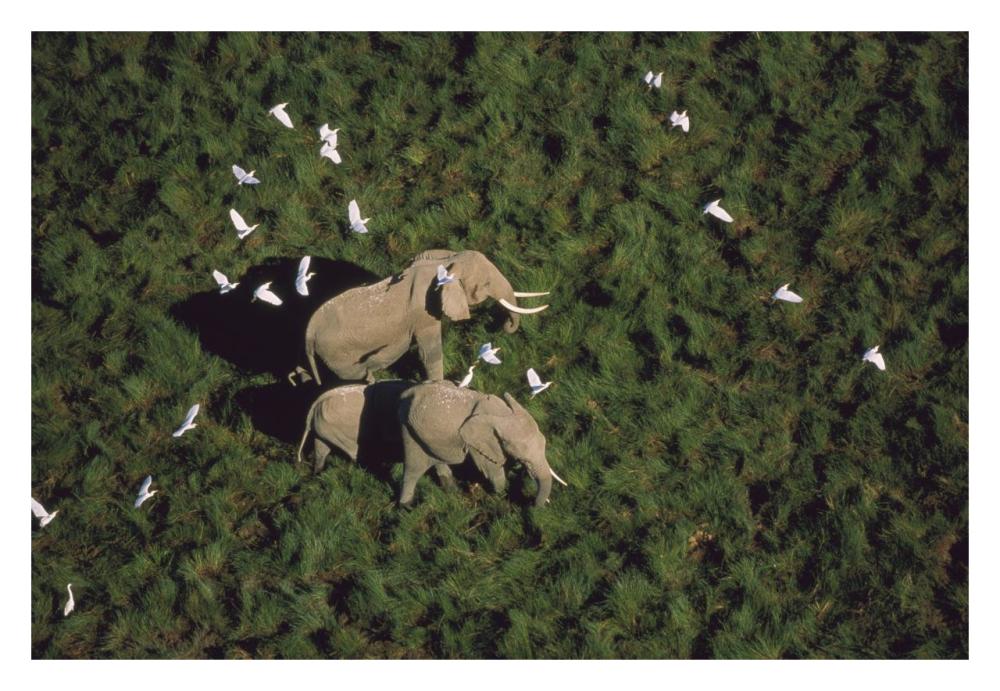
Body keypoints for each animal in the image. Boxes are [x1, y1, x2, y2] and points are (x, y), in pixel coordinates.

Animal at [303, 249, 549, 385]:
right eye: (486, 284)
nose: (503, 325)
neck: (446, 263)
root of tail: (308, 332)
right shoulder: (422, 314)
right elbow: (429, 351)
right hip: (336, 352)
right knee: (354, 374)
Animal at [395, 381, 567, 508]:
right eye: (524, 459)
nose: (532, 503)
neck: (502, 413)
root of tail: (405, 393)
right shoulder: (478, 442)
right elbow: (492, 470)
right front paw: (500, 496)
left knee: (437, 459)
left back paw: (453, 491)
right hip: (407, 427)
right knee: (413, 469)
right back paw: (406, 507)